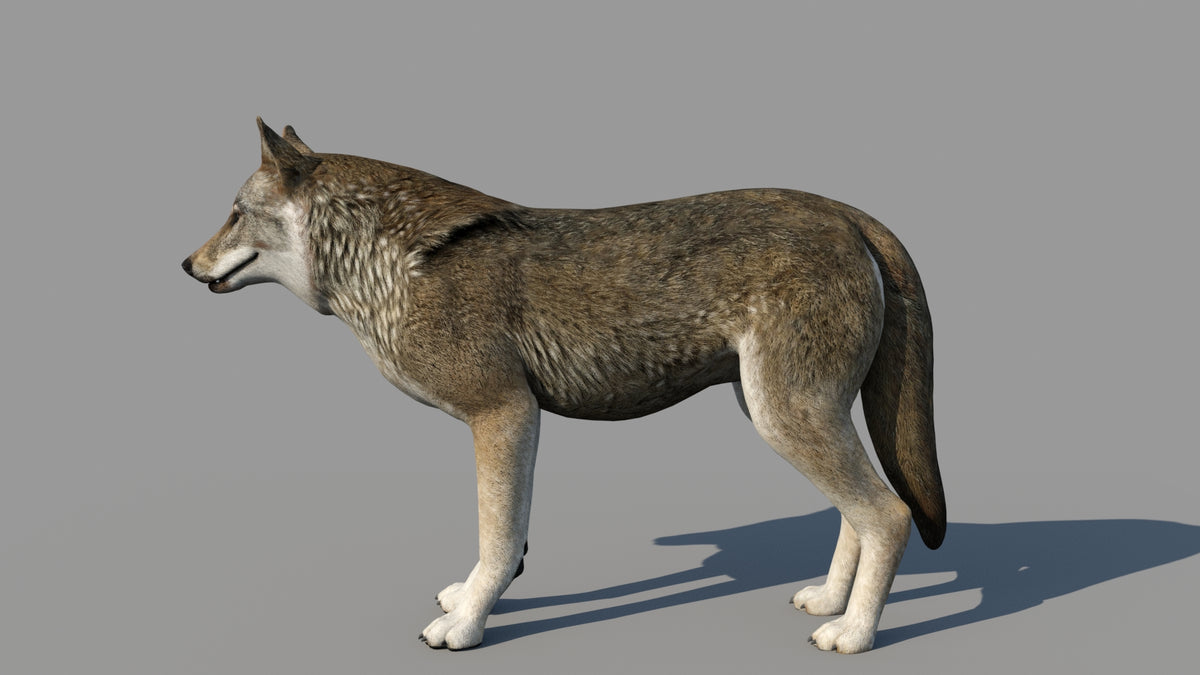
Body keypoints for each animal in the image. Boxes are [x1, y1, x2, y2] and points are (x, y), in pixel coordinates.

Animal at [182, 119, 945, 654]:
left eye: (234, 212)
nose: (186, 264)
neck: (391, 267)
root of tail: (843, 211)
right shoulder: (510, 424)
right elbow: (503, 542)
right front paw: (471, 598)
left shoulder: (506, 414)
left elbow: (498, 536)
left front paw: (466, 626)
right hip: (786, 416)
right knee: (856, 513)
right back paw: (830, 603)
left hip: (786, 419)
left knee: (888, 513)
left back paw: (855, 635)